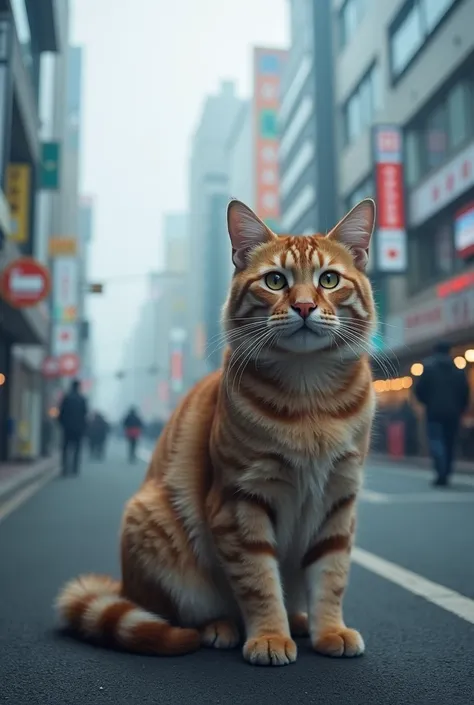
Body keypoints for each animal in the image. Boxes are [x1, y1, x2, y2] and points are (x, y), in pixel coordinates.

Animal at [56, 197, 378, 664]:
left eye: (329, 279)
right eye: (276, 281)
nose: (303, 306)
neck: (309, 395)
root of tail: (125, 587)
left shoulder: (339, 497)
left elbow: (331, 575)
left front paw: (329, 629)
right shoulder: (240, 499)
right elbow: (259, 581)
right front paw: (269, 636)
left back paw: (299, 621)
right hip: (155, 528)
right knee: (180, 612)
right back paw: (220, 627)